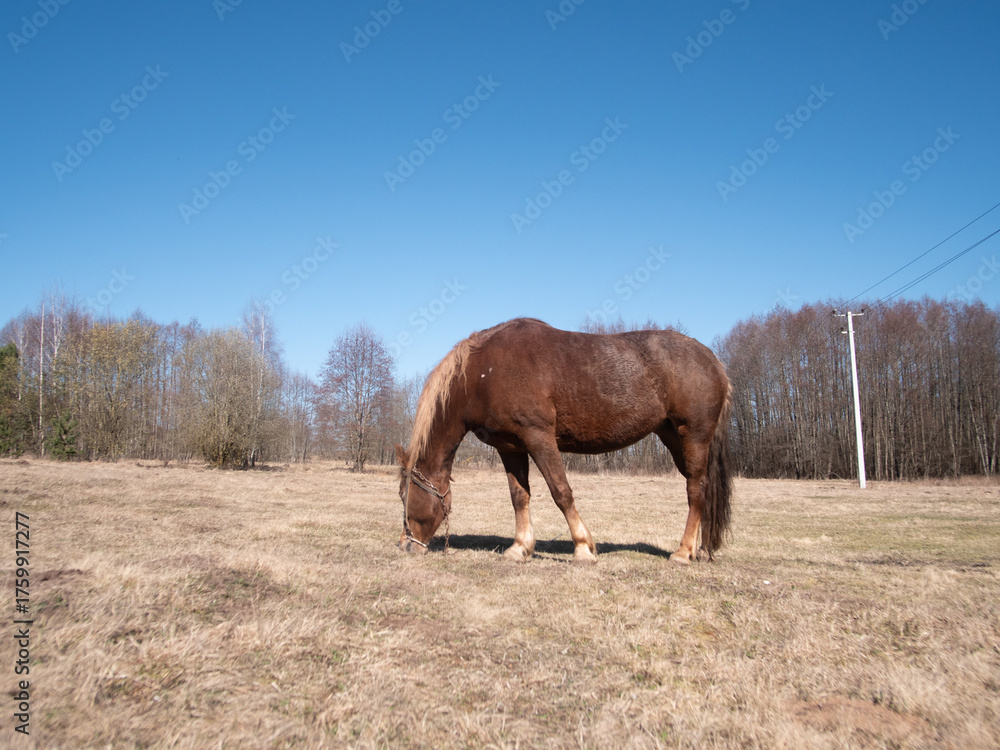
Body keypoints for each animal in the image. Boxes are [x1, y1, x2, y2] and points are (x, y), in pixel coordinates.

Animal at [395, 318, 732, 564]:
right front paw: (520, 548)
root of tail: (714, 361)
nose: (405, 545)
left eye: (403, 495)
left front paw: (583, 548)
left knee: (696, 489)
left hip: (694, 435)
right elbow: (519, 497)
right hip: (671, 436)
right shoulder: (510, 447)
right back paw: (697, 549)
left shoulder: (539, 436)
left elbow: (561, 492)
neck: (483, 373)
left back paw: (682, 552)